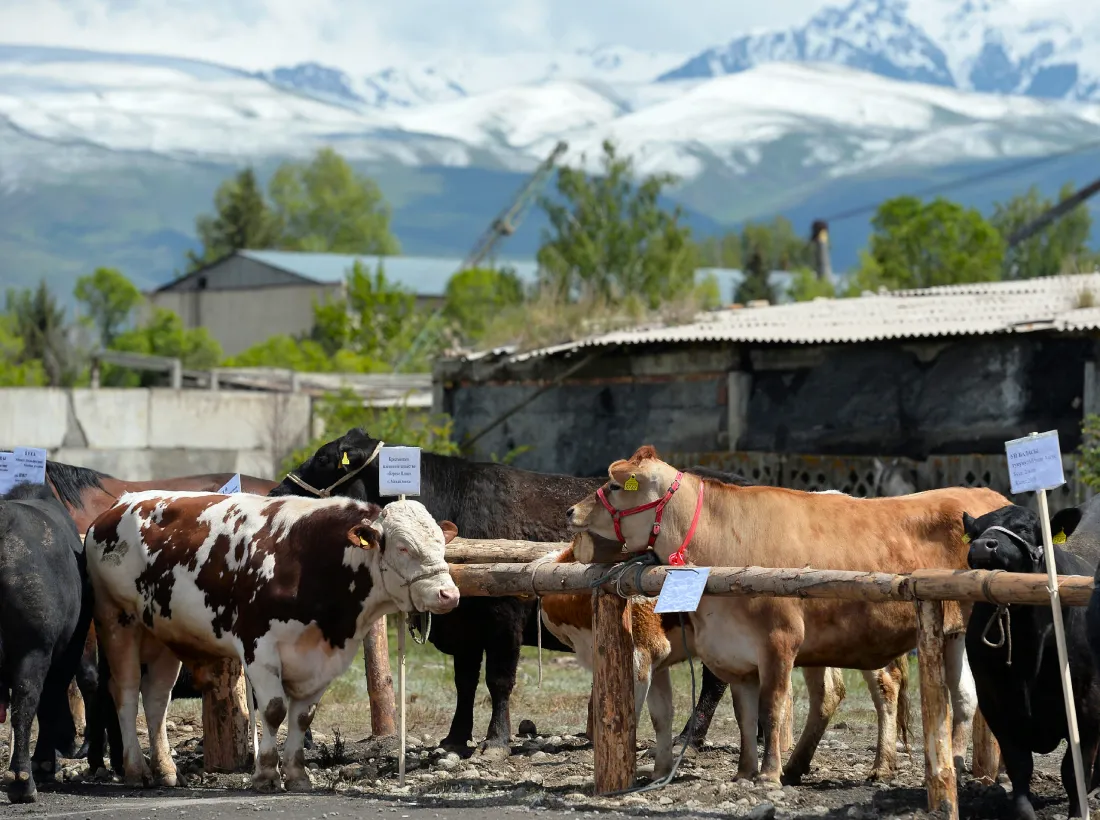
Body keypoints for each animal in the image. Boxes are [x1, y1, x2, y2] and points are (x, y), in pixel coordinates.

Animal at [85, 488, 459, 788]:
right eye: (404, 547)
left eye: (442, 544)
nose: (448, 594)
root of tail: (119, 504)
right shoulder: (259, 648)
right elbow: (275, 709)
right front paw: (265, 773)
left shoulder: (323, 660)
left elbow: (303, 717)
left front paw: (296, 775)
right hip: (117, 619)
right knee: (126, 692)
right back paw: (136, 770)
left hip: (161, 633)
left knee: (156, 699)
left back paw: (166, 771)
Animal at [572, 444, 1007, 783]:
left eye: (615, 485)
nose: (571, 511)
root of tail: (993, 497)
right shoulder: (733, 652)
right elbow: (744, 713)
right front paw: (745, 772)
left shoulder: (779, 640)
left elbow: (771, 707)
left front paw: (767, 775)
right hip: (946, 633)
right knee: (957, 695)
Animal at [963, 506, 1100, 818]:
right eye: (975, 532)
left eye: (1025, 528)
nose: (982, 545)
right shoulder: (995, 704)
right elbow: (1020, 765)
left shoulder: (1088, 705)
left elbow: (1074, 770)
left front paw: (1080, 810)